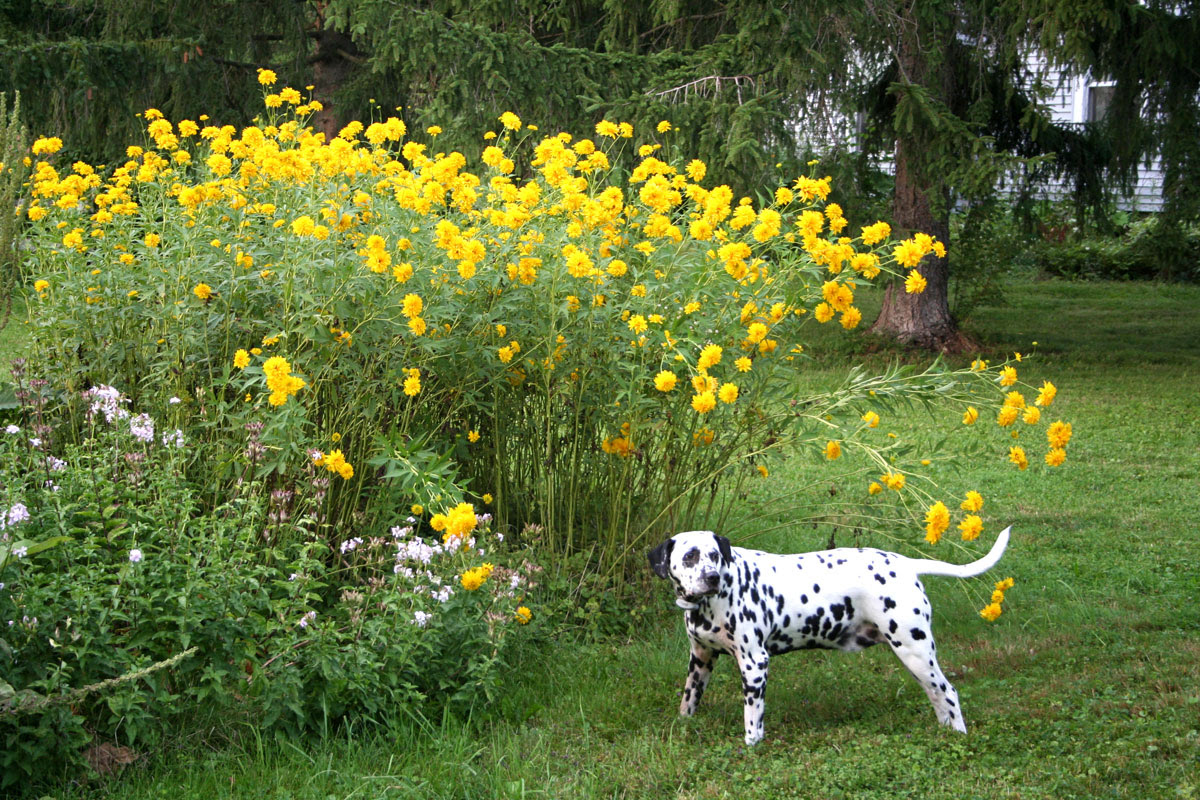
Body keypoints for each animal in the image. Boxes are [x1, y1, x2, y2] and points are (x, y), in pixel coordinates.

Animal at [648, 527, 1010, 744]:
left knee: (949, 693)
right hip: (916, 661)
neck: (714, 599)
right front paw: (682, 726)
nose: (712, 578)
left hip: (915, 651)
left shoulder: (754, 664)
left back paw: (959, 735)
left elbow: (753, 719)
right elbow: (688, 702)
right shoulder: (700, 660)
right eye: (689, 556)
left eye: (714, 556)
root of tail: (906, 564)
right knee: (937, 696)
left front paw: (751, 746)